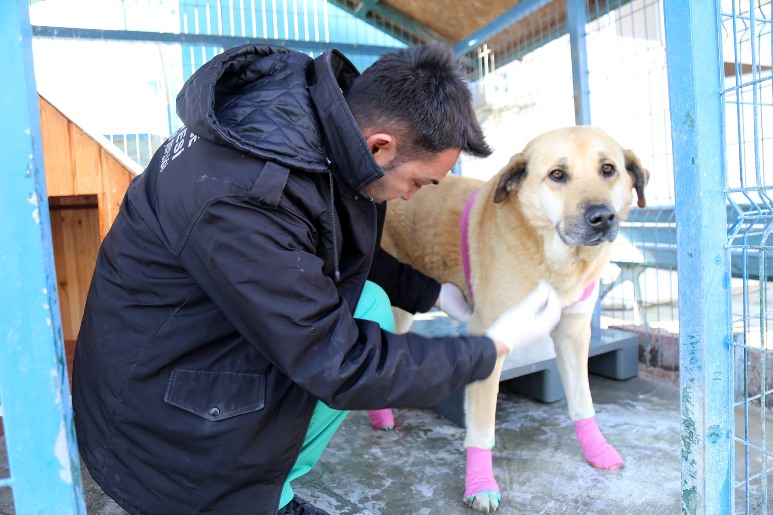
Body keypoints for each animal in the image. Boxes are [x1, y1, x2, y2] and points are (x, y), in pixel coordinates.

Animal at [376, 125, 648, 512]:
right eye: (557, 174)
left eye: (608, 169)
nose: (602, 217)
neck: (555, 260)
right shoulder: (488, 341)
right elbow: (481, 428)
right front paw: (480, 484)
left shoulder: (573, 334)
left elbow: (582, 401)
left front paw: (596, 449)